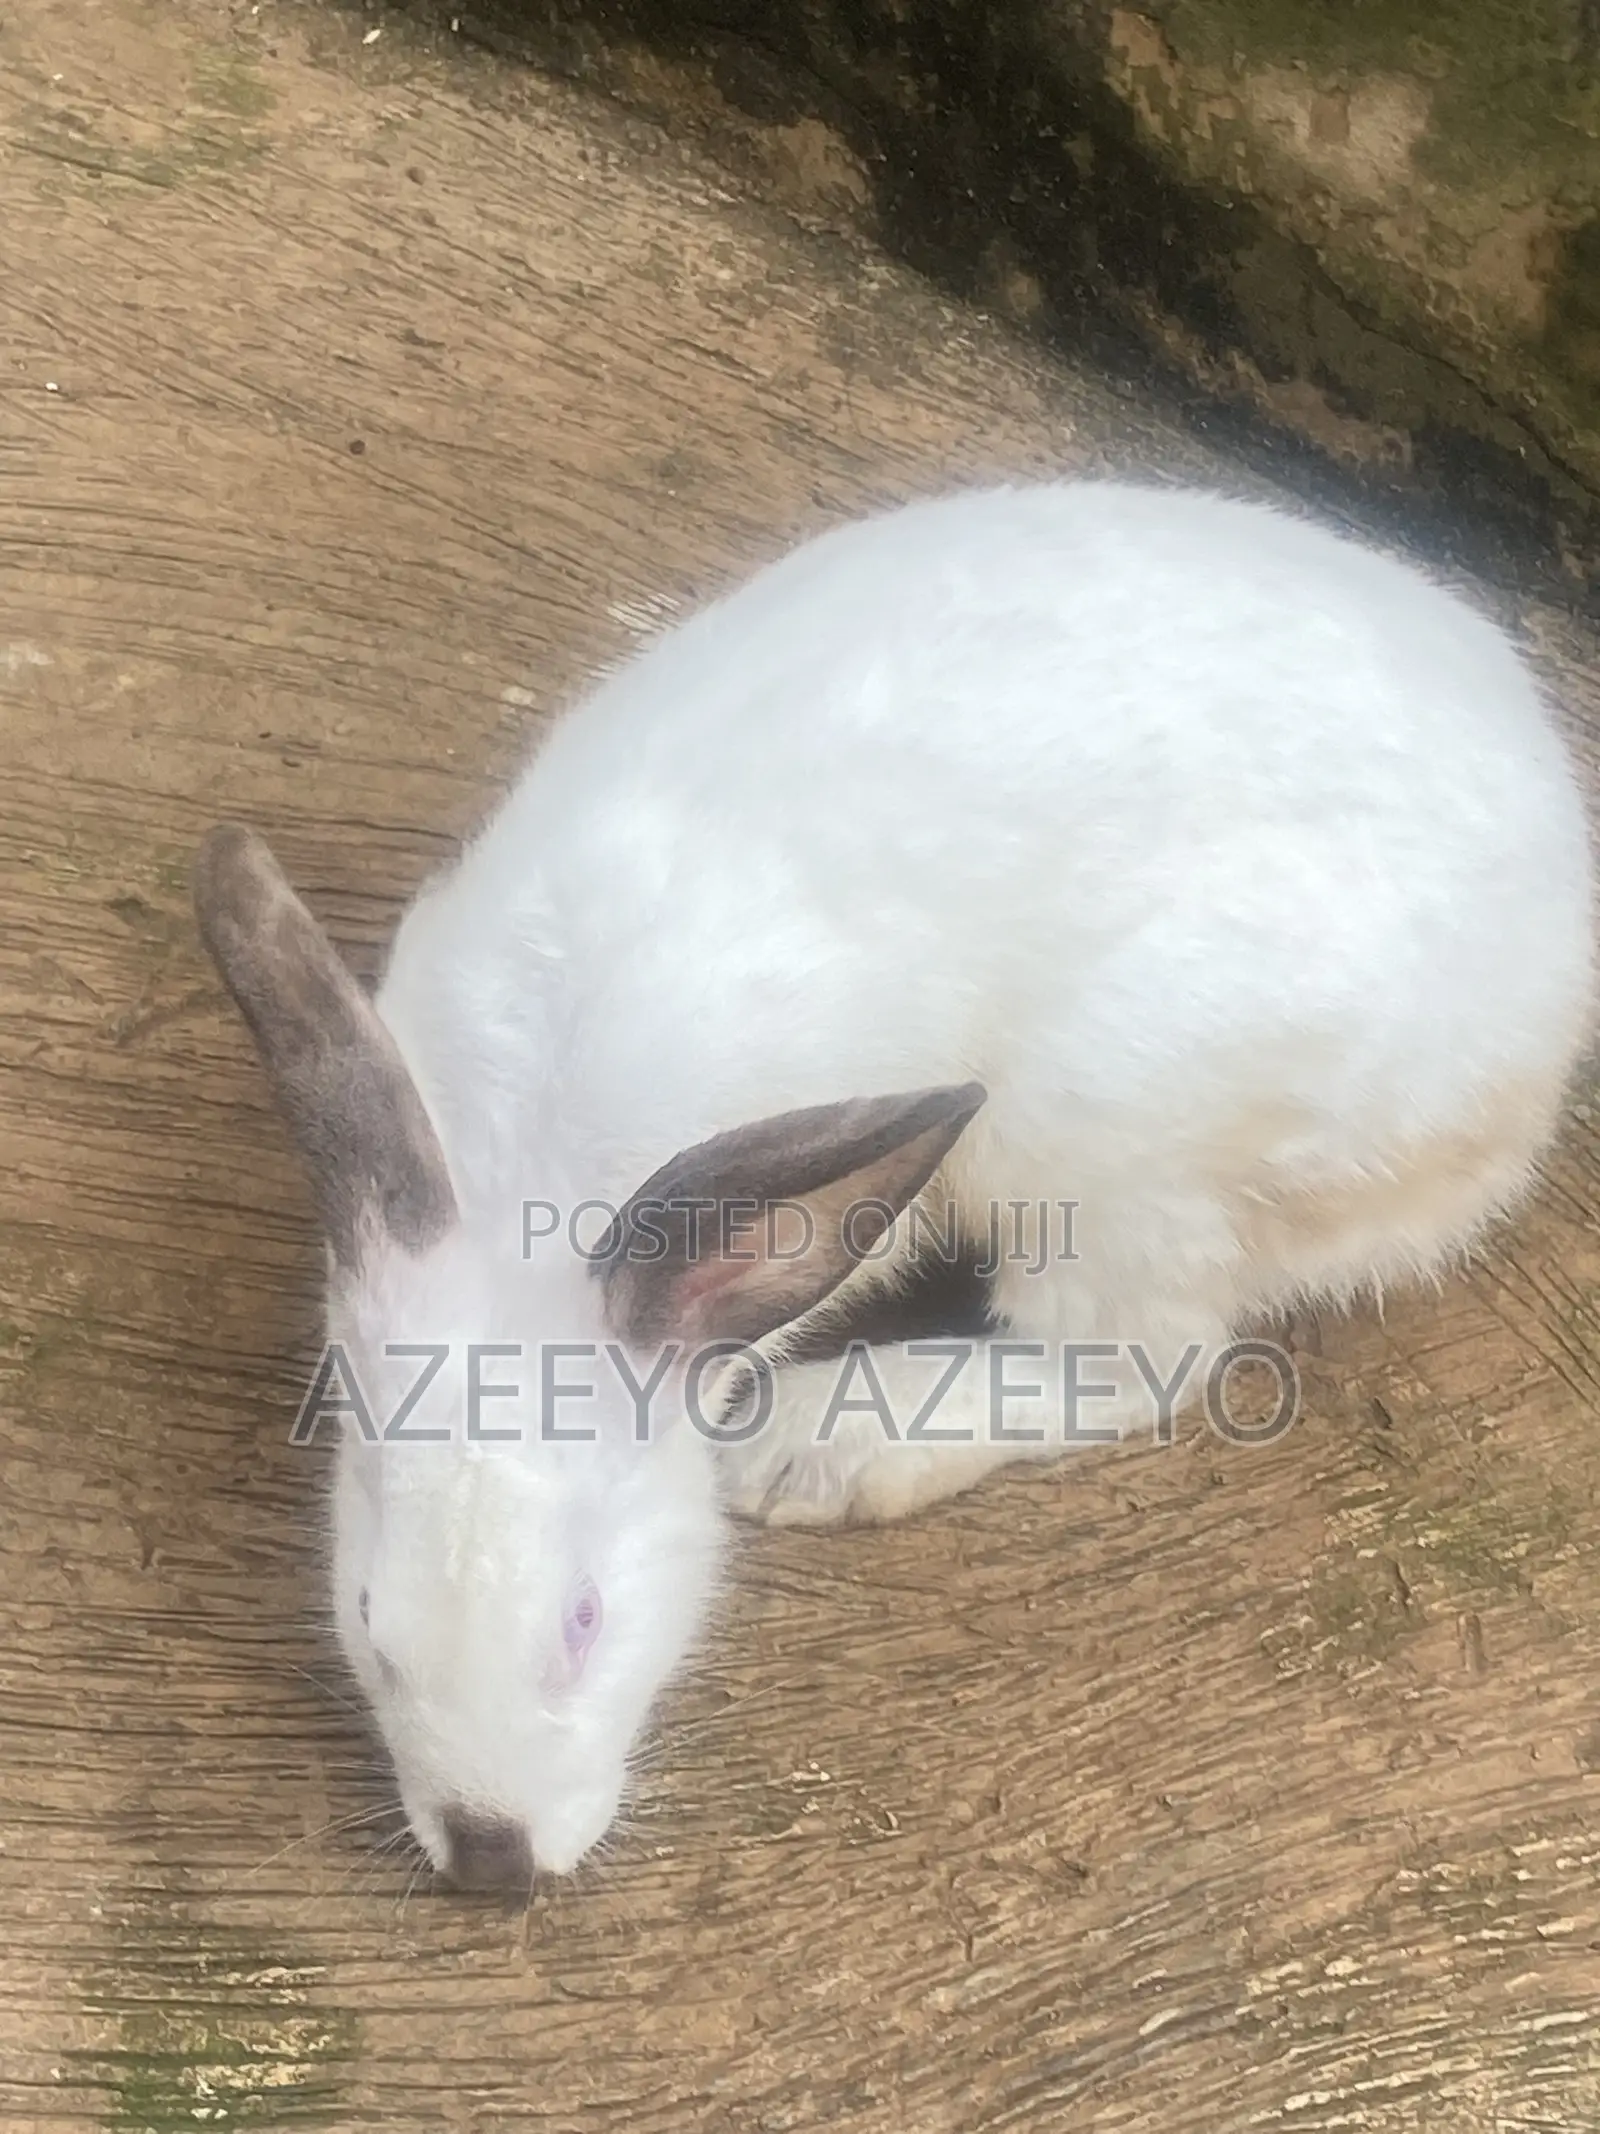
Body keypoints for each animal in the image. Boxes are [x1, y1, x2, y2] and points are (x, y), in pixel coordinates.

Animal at [194, 478, 1595, 1891]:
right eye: (369, 1614)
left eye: (584, 1620)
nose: (493, 1855)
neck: (535, 1183)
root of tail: (1539, 1028)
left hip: (1104, 1134)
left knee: (1137, 1359)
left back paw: (817, 1443)